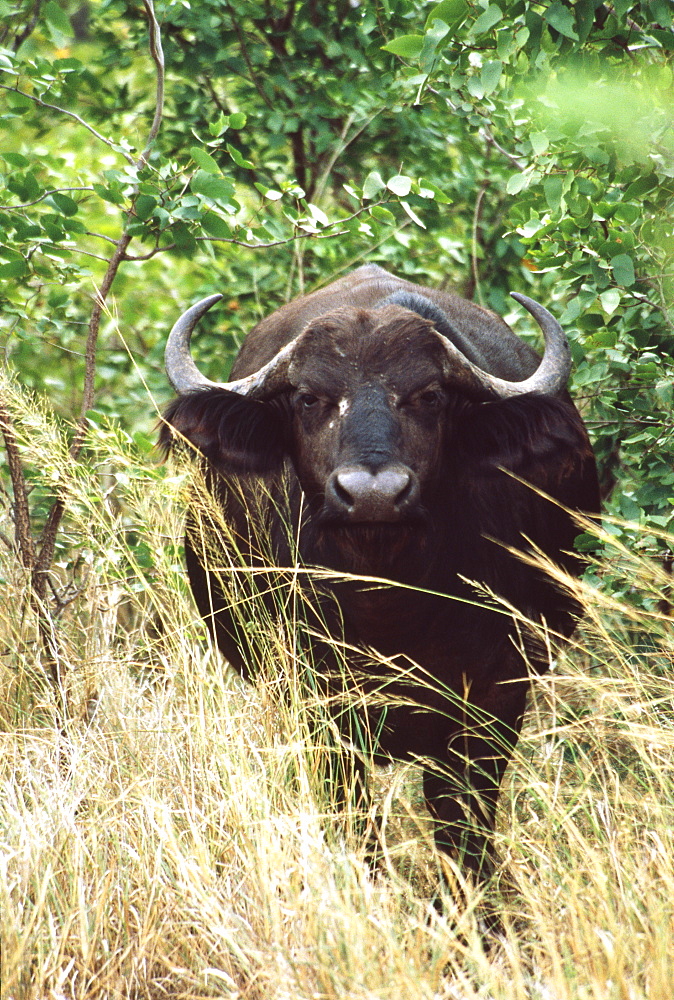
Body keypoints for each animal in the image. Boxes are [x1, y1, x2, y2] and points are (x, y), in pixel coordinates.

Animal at [160, 262, 596, 904]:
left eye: (430, 396)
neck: (388, 605)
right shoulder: (316, 706)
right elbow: (351, 817)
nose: (371, 495)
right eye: (309, 398)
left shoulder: (494, 700)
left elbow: (462, 825)